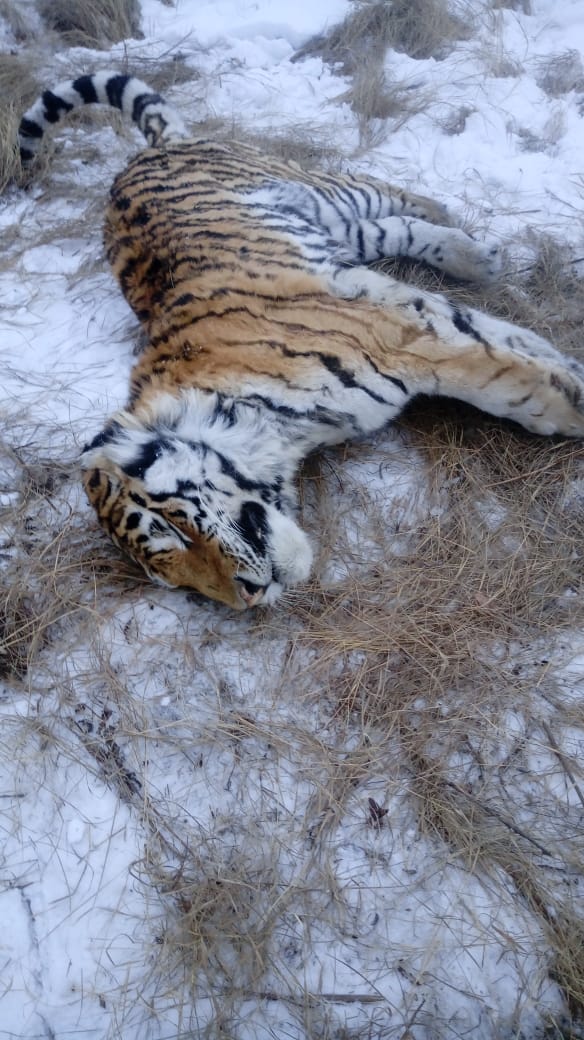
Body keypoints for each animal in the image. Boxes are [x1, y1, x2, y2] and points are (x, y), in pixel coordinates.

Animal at [18, 71, 584, 610]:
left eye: (171, 530)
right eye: (177, 584)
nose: (249, 596)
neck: (282, 434)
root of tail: (147, 152)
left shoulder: (403, 341)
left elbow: (514, 384)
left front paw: (569, 396)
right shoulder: (412, 323)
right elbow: (503, 342)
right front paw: (562, 364)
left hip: (319, 190)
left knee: (390, 193)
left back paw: (455, 224)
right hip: (341, 232)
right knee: (395, 227)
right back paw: (471, 253)